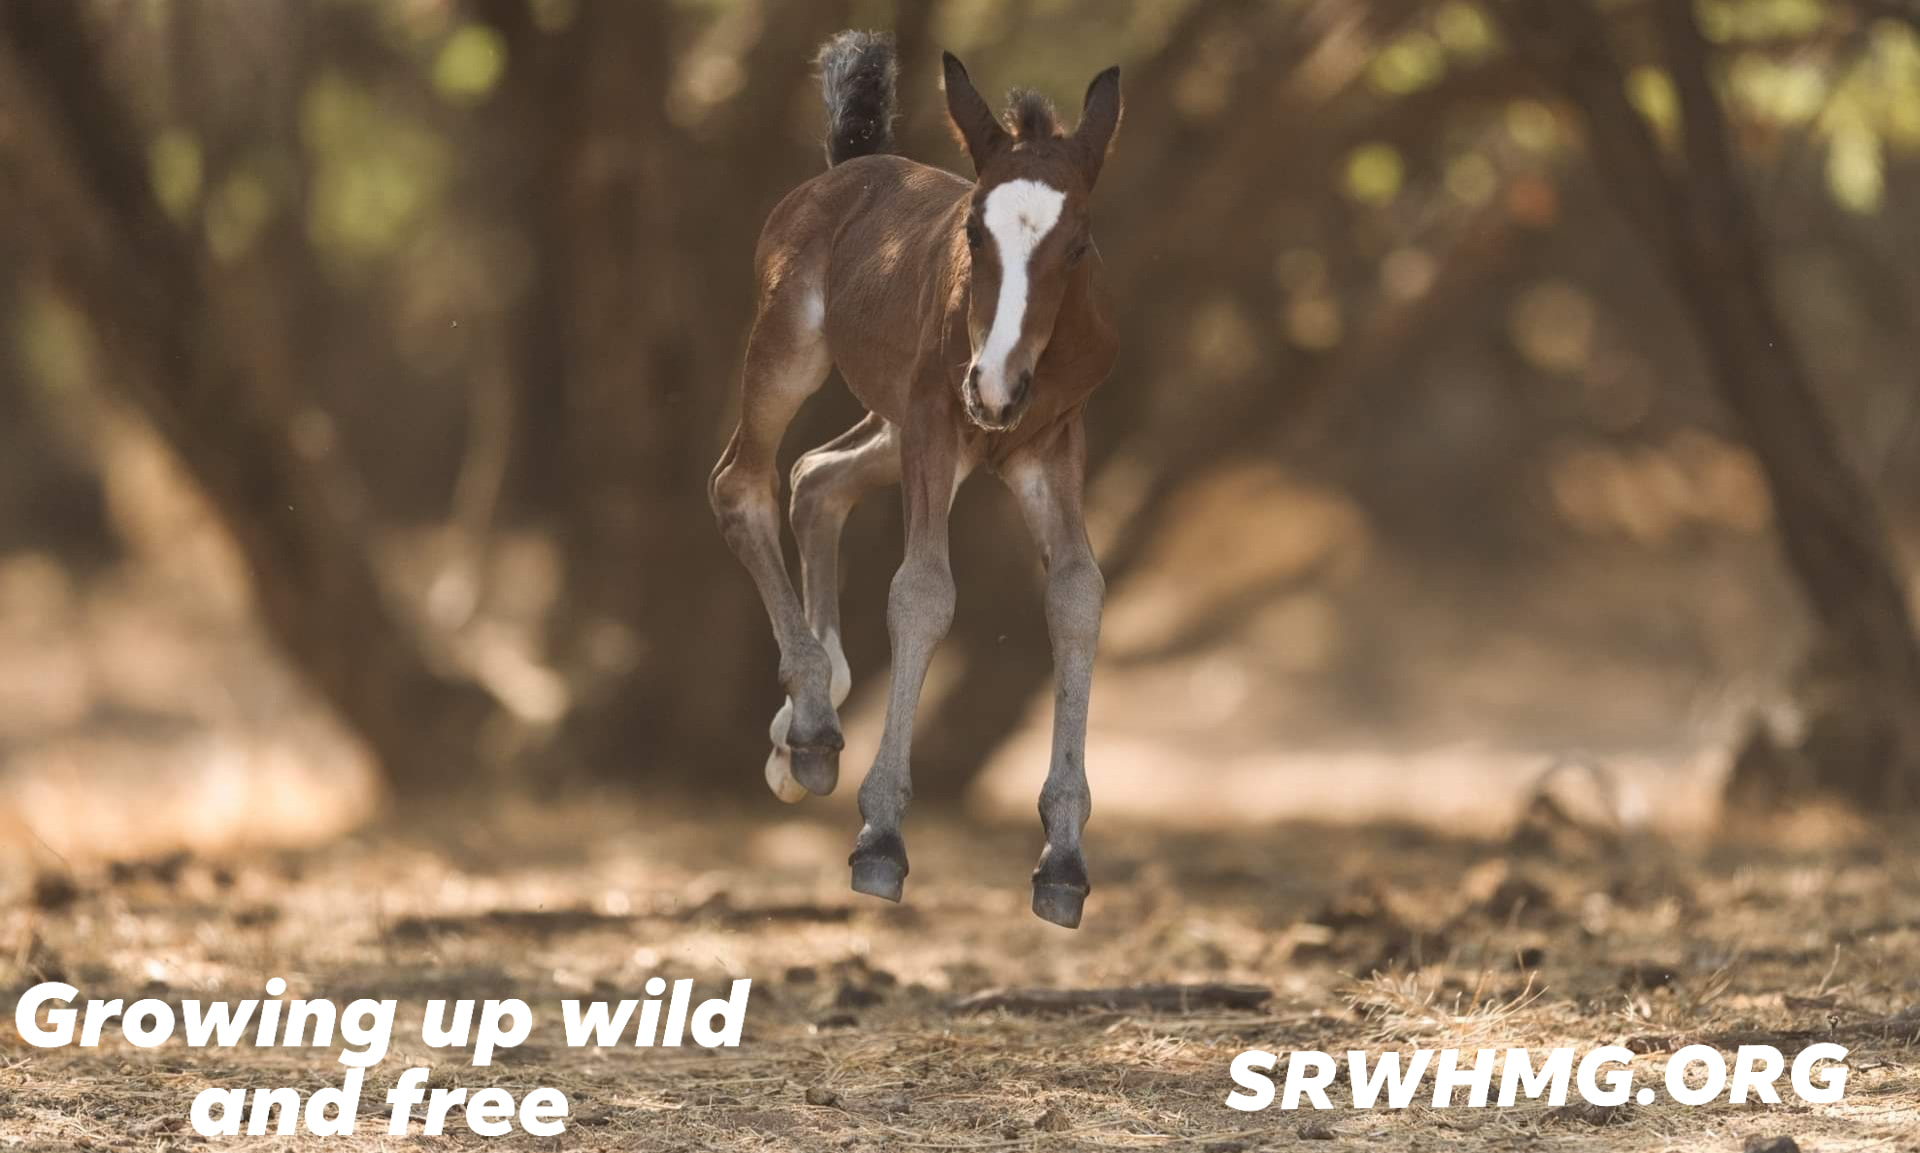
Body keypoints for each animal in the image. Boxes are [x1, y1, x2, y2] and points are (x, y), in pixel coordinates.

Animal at [709, 30, 1121, 928]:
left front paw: (1064, 862)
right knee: (740, 483)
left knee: (817, 477)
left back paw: (805, 719)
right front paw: (881, 840)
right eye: (973, 231)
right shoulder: (937, 415)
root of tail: (845, 169)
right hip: (796, 352)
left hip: (909, 428)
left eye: (1077, 245)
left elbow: (1077, 593)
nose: (996, 385)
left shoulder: (1049, 441)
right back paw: (812, 723)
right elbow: (923, 590)